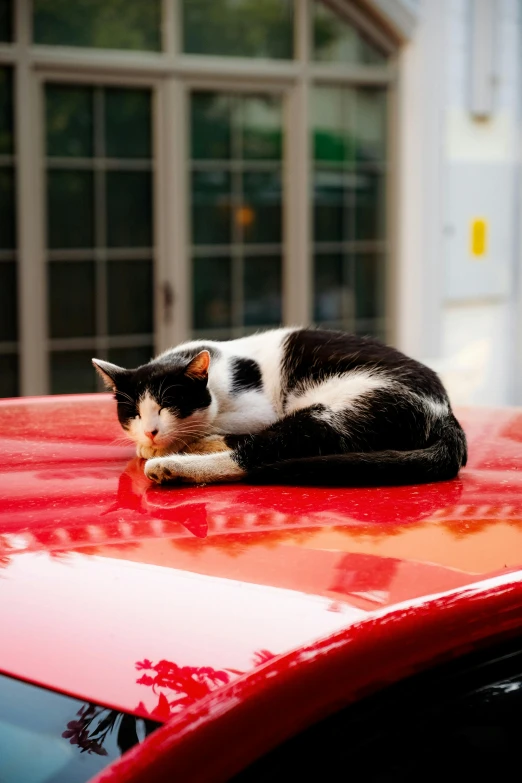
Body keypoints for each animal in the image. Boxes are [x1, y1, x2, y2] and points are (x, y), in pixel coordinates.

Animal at [91, 326, 466, 486]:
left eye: (168, 405)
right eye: (134, 413)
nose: (151, 431)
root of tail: (444, 411)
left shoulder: (257, 409)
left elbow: (222, 425)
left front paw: (169, 444)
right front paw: (151, 442)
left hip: (348, 405)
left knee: (260, 453)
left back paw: (174, 466)